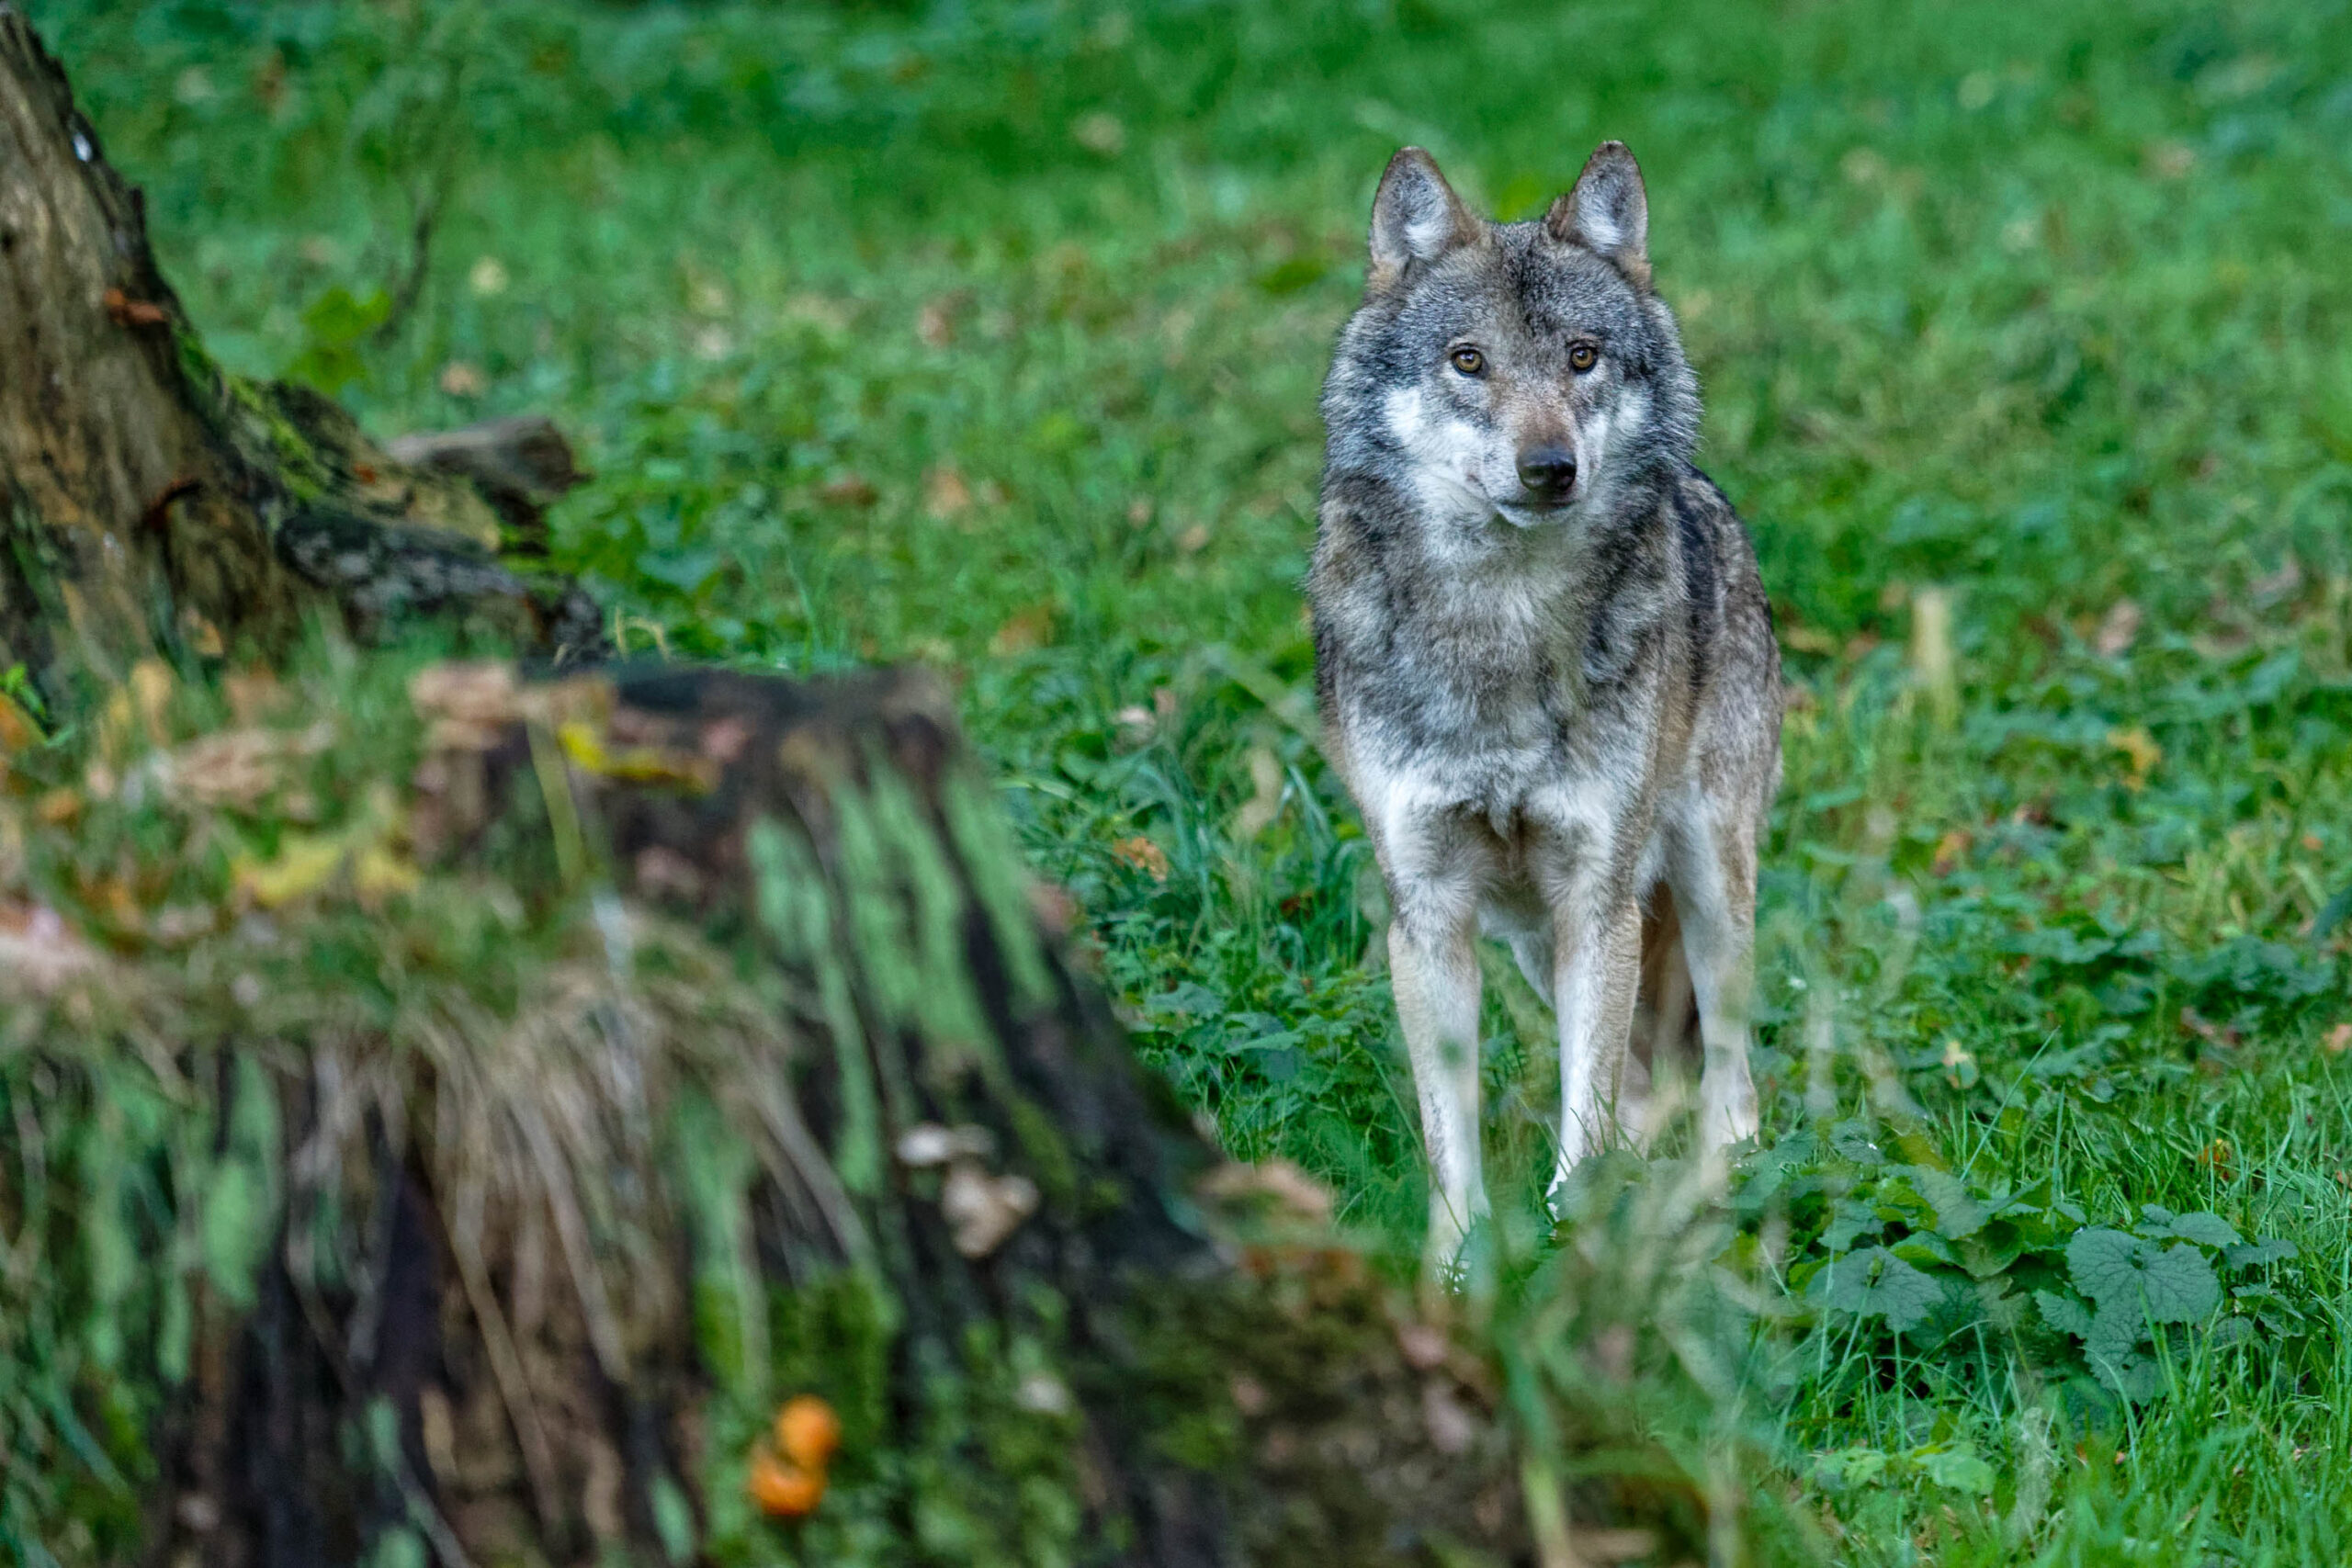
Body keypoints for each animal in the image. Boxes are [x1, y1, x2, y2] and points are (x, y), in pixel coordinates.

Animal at [1309, 141, 1782, 1271]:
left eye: (1580, 356)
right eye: (1468, 361)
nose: (1550, 468)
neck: (1501, 627)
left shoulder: (1594, 899)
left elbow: (1586, 1109)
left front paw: (1579, 1246)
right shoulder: (1428, 912)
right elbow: (1454, 1135)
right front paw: (1455, 1272)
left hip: (1706, 890)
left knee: (1729, 1077)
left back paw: (1723, 1194)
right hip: (1533, 943)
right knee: (1651, 1082)